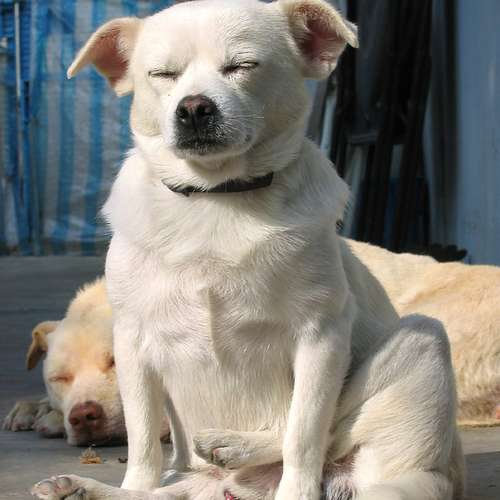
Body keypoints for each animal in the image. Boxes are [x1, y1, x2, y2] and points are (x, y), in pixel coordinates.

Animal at [31, 1, 463, 499]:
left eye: (242, 66)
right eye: (163, 74)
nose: (194, 107)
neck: (216, 197)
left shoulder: (321, 336)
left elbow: (304, 429)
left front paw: (297, 489)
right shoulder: (133, 341)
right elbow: (142, 438)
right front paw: (131, 480)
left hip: (421, 341)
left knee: (329, 428)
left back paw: (241, 447)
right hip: (191, 483)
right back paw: (86, 486)